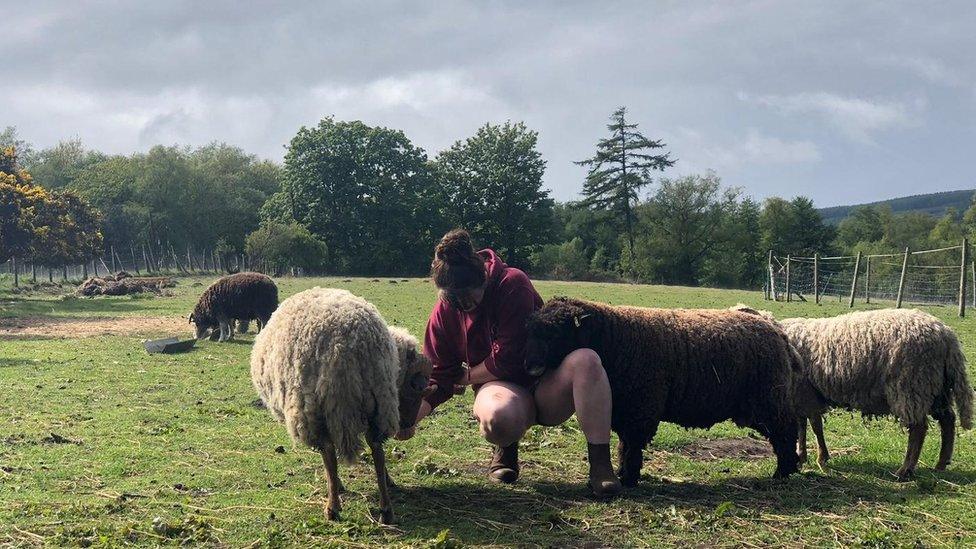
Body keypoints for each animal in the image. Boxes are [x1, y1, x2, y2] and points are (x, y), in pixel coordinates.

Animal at [252, 286, 430, 524]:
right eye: (415, 388)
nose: (408, 427)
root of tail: (348, 348)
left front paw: (337, 486)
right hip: (379, 404)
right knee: (376, 447)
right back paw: (385, 508)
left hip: (316, 408)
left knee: (328, 451)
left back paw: (333, 506)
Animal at [528, 296, 800, 484]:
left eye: (555, 333)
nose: (529, 367)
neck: (616, 339)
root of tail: (773, 327)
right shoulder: (624, 408)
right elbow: (624, 444)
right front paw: (623, 473)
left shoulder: (641, 408)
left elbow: (632, 445)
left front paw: (629, 478)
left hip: (769, 398)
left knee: (786, 430)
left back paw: (783, 472)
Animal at [736, 304, 972, 480]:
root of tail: (946, 335)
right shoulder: (800, 396)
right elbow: (804, 426)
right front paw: (802, 456)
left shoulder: (805, 393)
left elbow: (815, 426)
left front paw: (820, 458)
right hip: (935, 386)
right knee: (948, 420)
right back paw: (941, 464)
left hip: (912, 384)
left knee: (919, 428)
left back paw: (905, 470)